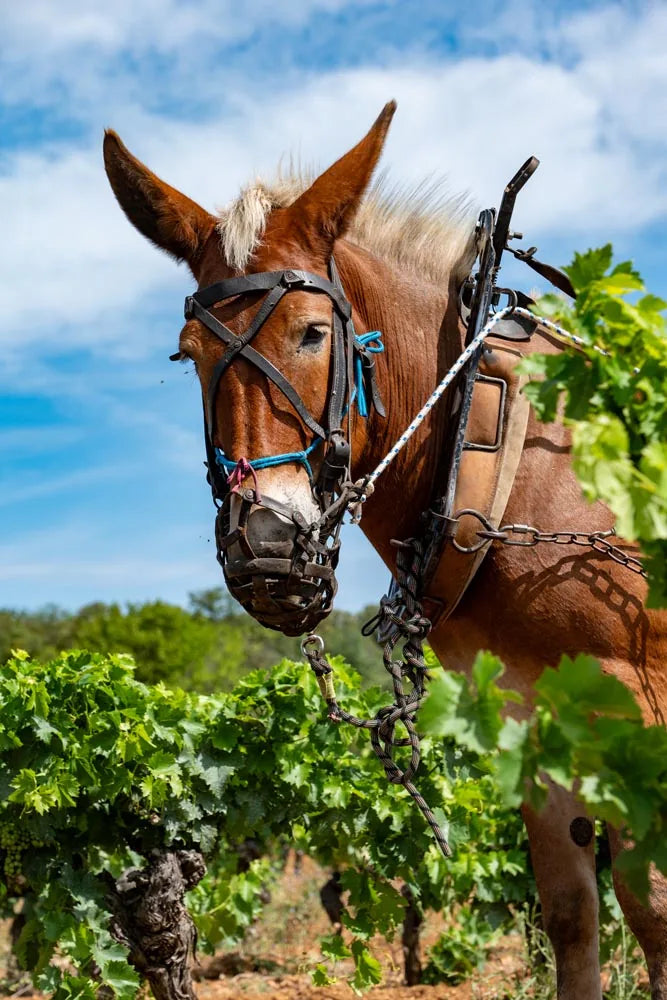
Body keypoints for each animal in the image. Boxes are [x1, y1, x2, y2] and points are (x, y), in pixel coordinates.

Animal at [103, 102, 667, 999]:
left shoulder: (635, 716)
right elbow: (572, 920)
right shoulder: (533, 724)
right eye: (189, 355)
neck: (498, 454)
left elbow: (651, 917)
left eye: (310, 334)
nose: (266, 549)